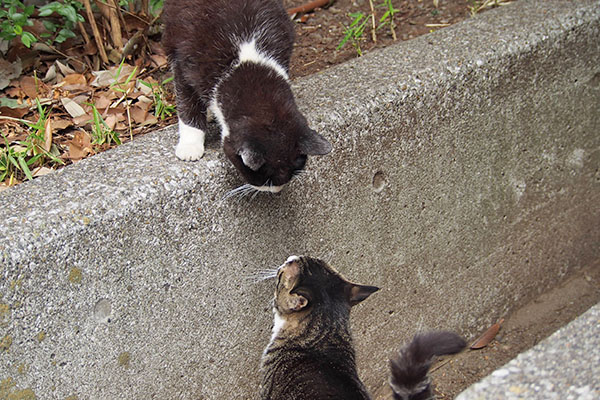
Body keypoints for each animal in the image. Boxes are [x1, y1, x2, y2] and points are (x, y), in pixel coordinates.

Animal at [163, 0, 332, 194]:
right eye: (265, 179)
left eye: (291, 173)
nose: (277, 190)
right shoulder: (186, 61)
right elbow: (187, 103)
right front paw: (190, 145)